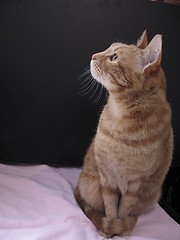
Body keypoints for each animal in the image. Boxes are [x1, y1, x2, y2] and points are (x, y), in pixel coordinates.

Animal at [74, 30, 173, 238]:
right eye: (108, 49)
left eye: (114, 57)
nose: (93, 55)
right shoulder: (107, 178)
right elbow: (111, 209)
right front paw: (108, 230)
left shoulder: (136, 184)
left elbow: (124, 209)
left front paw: (121, 230)